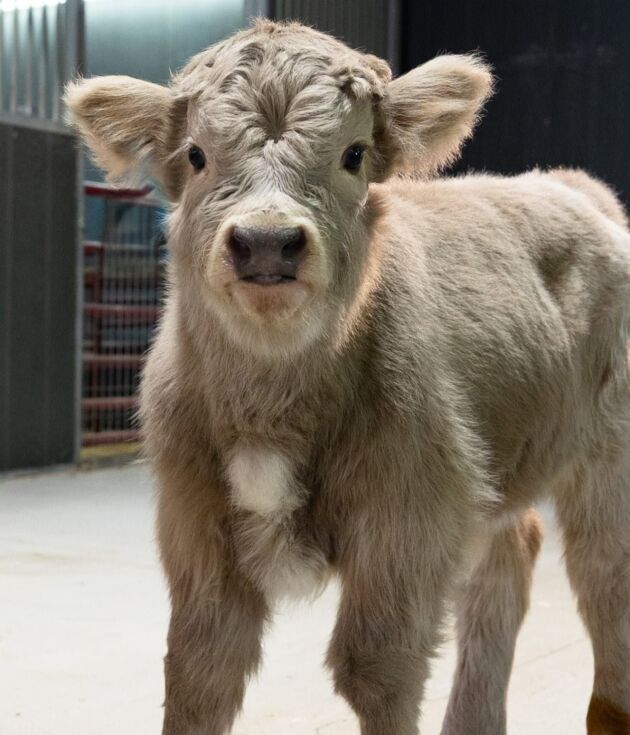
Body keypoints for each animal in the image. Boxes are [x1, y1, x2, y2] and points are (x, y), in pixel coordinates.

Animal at [65, 19, 630, 735]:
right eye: (195, 155)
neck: (273, 400)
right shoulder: (194, 524)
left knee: (606, 580)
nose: (267, 242)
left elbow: (375, 670)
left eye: (354, 154)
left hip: (608, 464)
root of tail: (574, 188)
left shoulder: (407, 524)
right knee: (511, 555)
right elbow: (198, 672)